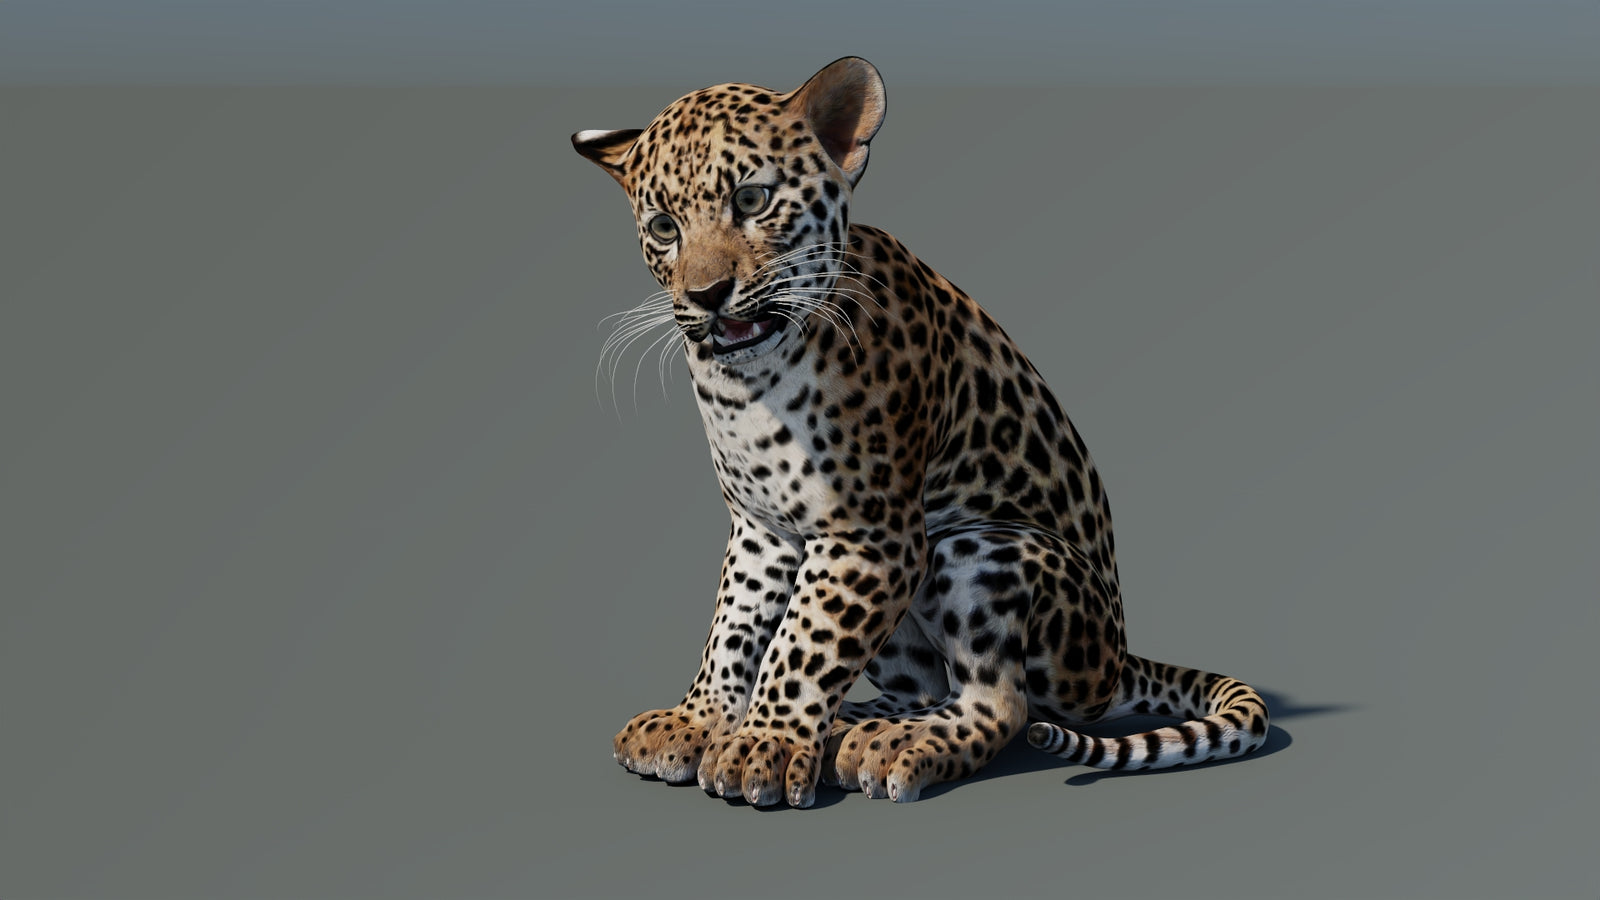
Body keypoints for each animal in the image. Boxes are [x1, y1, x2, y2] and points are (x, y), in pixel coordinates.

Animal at [573, 57, 1270, 807]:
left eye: (753, 199)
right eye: (663, 226)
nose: (706, 295)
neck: (750, 387)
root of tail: (1115, 661)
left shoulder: (870, 535)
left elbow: (804, 640)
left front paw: (764, 743)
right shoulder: (762, 530)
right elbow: (735, 626)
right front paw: (699, 721)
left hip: (981, 548)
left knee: (1004, 703)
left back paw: (896, 743)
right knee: (925, 688)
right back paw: (858, 723)